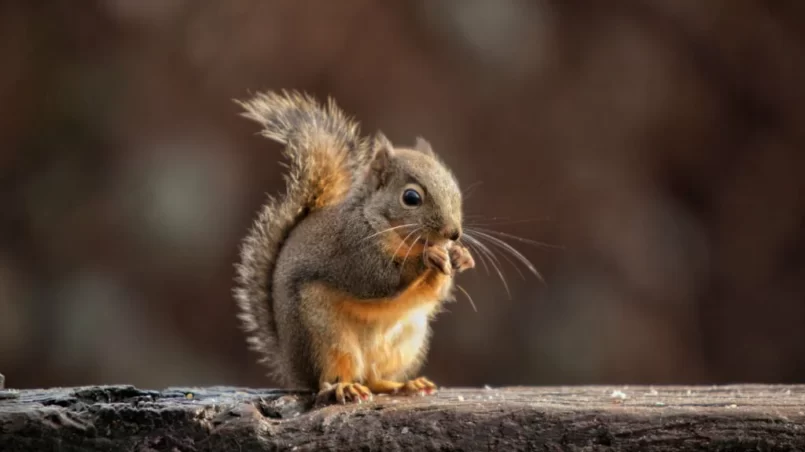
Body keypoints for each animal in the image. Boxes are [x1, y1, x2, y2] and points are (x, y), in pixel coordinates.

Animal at [231, 90, 478, 404]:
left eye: (455, 191)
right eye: (411, 198)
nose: (453, 234)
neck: (379, 222)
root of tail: (292, 369)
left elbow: (433, 293)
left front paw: (459, 257)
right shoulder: (351, 249)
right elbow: (378, 279)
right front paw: (427, 257)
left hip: (406, 342)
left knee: (374, 378)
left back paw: (404, 385)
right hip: (325, 338)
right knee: (327, 381)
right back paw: (344, 387)